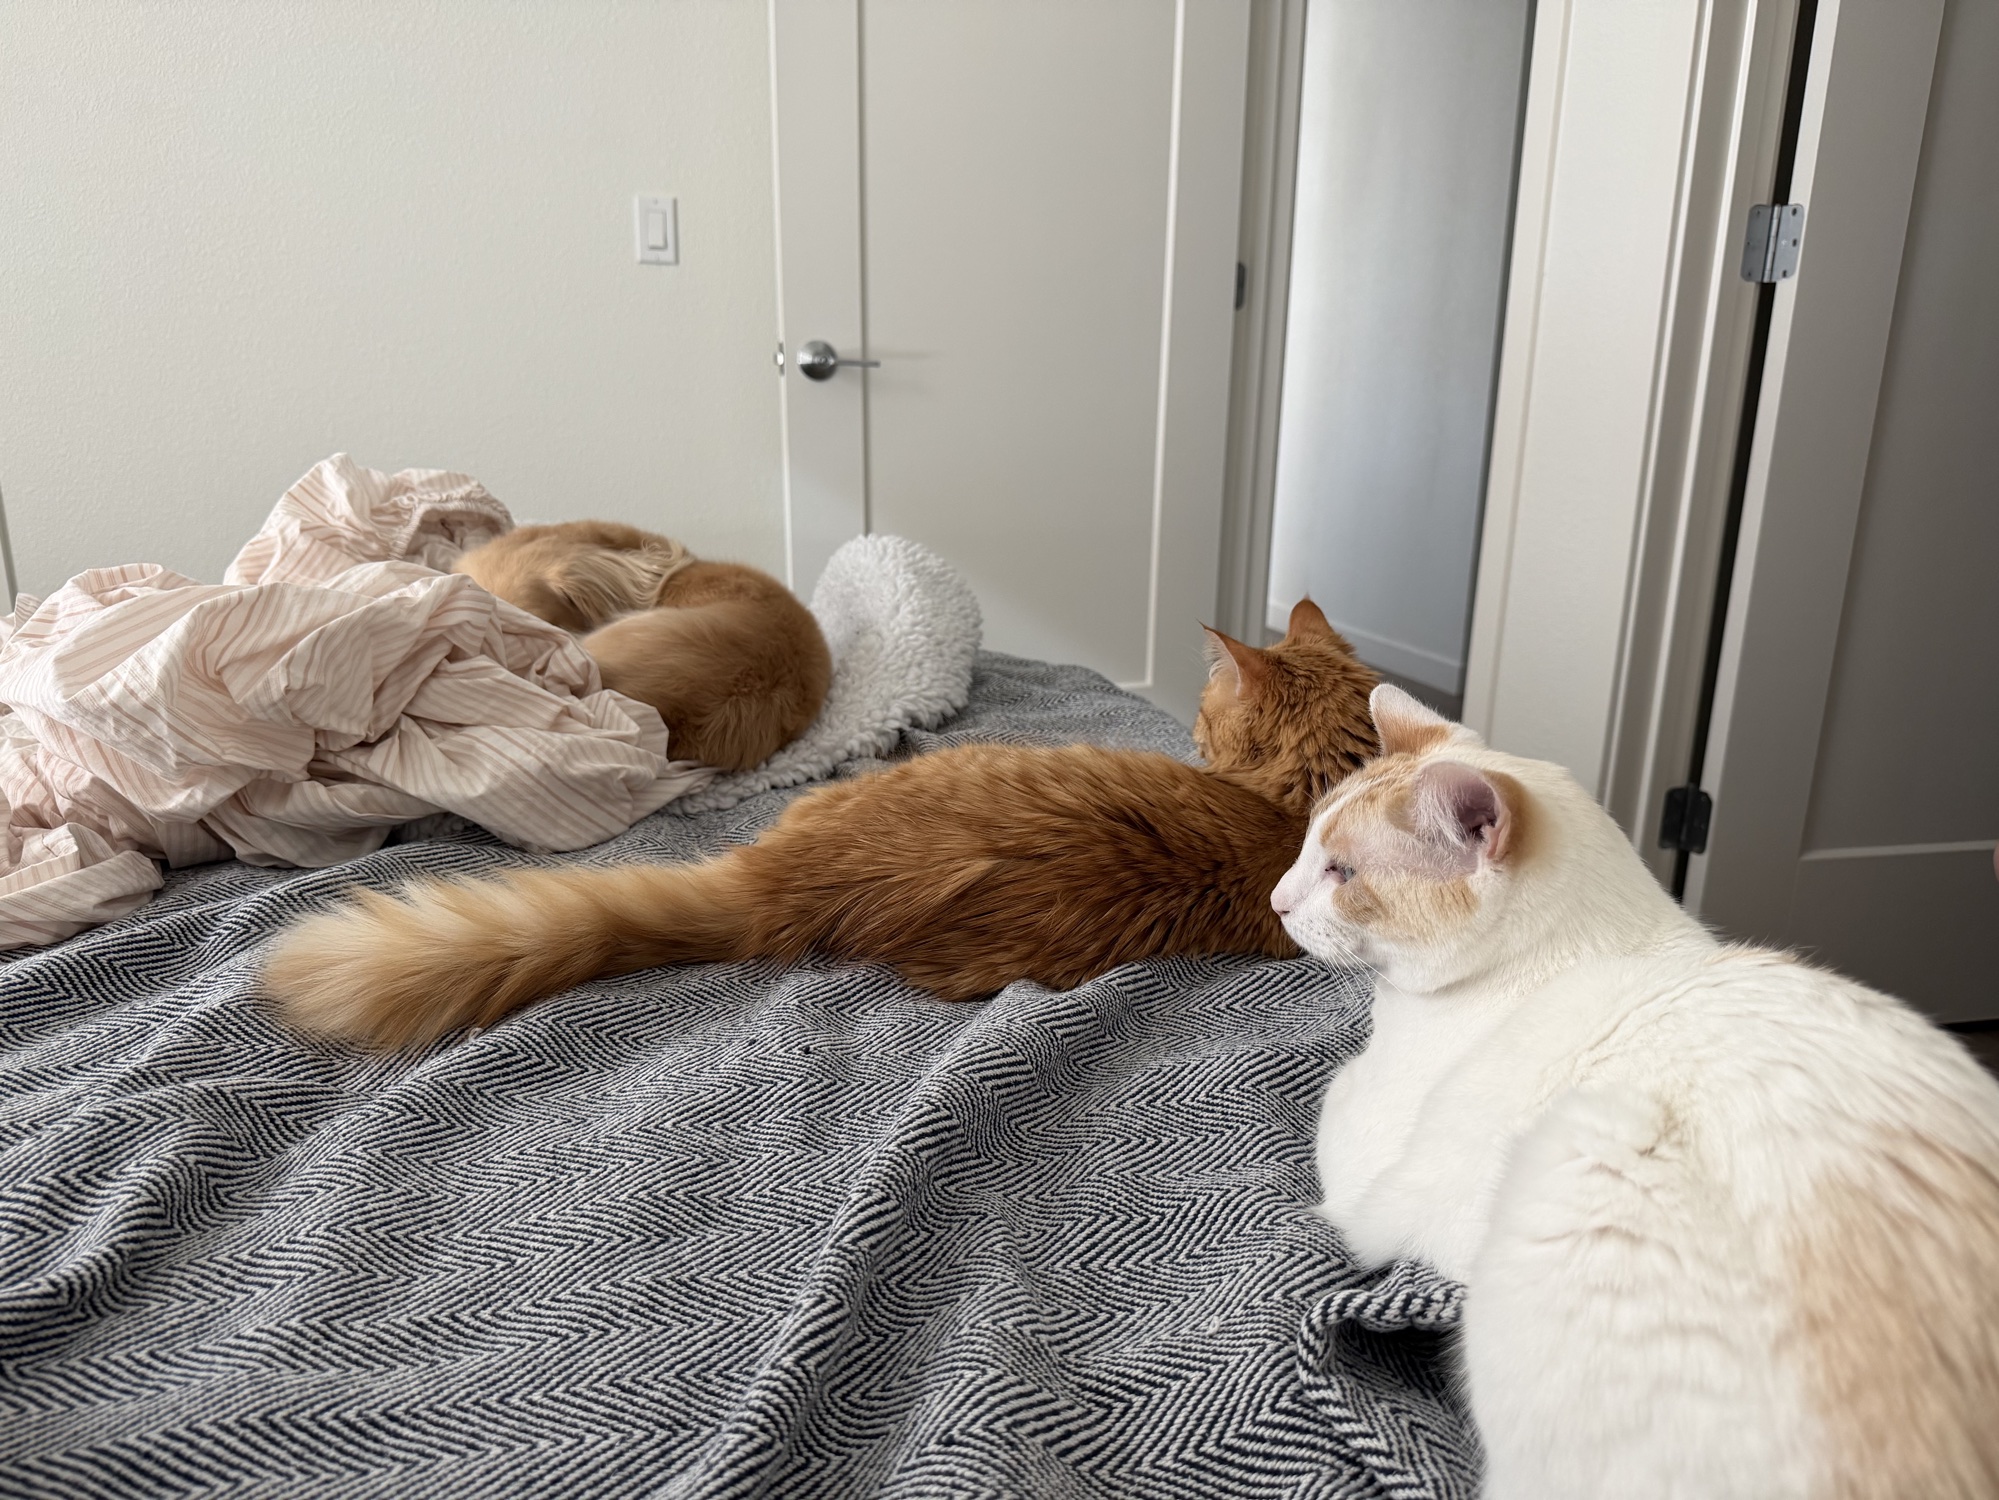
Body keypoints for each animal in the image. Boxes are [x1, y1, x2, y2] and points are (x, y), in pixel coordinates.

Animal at [1271, 683, 1999, 1500]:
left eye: (1341, 873)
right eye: (1307, 846)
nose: (1275, 901)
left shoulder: (1371, 1172)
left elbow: (1337, 1091)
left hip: (1576, 1157)